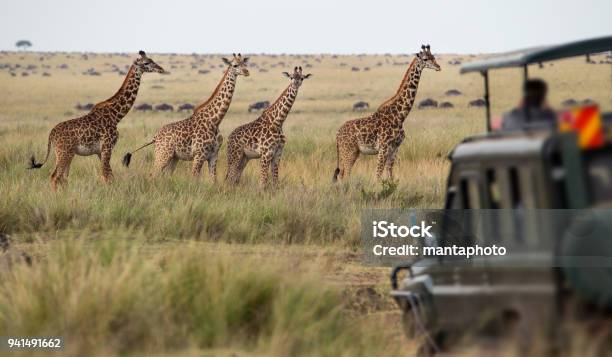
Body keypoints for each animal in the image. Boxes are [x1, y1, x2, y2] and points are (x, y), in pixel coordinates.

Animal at [29, 50, 164, 189]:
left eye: (152, 60)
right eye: (146, 62)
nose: (161, 69)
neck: (116, 116)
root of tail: (51, 134)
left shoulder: (100, 151)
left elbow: (109, 176)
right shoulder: (107, 147)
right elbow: (106, 176)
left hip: (66, 153)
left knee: (63, 177)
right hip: (64, 152)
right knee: (55, 176)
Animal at [123, 52, 250, 181]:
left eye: (245, 63)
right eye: (235, 65)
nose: (247, 72)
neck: (215, 120)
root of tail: (156, 137)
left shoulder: (214, 155)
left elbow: (213, 180)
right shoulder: (199, 155)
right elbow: (194, 178)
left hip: (174, 157)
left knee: (166, 175)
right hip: (163, 154)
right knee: (153, 174)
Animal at [332, 45, 442, 181]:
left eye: (434, 57)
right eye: (426, 59)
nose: (438, 67)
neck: (400, 116)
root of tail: (337, 135)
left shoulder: (394, 148)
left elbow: (390, 175)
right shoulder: (383, 148)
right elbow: (378, 175)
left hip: (350, 152)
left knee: (341, 175)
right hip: (349, 151)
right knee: (345, 175)